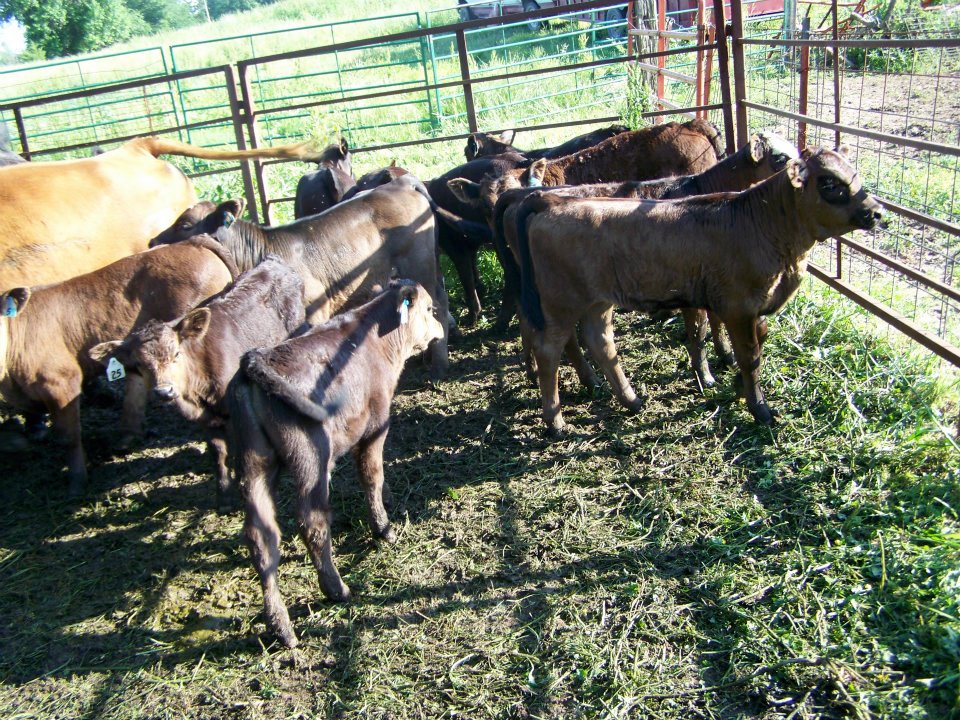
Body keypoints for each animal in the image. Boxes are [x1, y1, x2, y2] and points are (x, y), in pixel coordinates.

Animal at [89, 256, 305, 510]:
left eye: (176, 353)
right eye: (139, 365)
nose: (164, 391)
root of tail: (273, 261)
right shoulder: (205, 420)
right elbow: (219, 453)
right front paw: (223, 497)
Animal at [150, 175, 454, 377]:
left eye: (185, 224)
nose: (153, 241)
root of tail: (400, 182)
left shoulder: (315, 312)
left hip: (420, 265)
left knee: (437, 303)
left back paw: (439, 362)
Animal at [229, 280, 445, 648]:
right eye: (429, 309)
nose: (442, 326)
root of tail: (256, 359)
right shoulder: (376, 426)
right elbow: (371, 474)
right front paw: (383, 528)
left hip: (254, 464)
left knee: (261, 537)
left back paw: (280, 626)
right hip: (310, 459)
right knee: (311, 521)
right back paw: (336, 589)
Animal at [515, 147, 884, 435]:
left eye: (855, 174)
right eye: (830, 183)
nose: (877, 212)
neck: (761, 222)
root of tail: (550, 203)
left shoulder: (755, 307)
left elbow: (756, 343)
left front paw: (738, 386)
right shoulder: (738, 306)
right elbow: (749, 356)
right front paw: (760, 408)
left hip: (598, 301)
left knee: (600, 341)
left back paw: (632, 401)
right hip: (561, 303)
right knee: (549, 350)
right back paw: (556, 423)